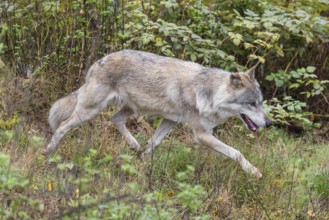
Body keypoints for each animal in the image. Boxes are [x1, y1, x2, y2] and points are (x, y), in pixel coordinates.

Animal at [45, 49, 272, 177]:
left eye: (261, 103)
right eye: (251, 103)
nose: (269, 123)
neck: (209, 93)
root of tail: (99, 61)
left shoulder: (169, 122)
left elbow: (154, 143)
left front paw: (142, 161)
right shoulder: (202, 135)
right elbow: (236, 152)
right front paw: (255, 172)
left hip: (128, 108)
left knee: (114, 118)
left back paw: (133, 145)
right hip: (89, 111)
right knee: (62, 126)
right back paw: (48, 152)